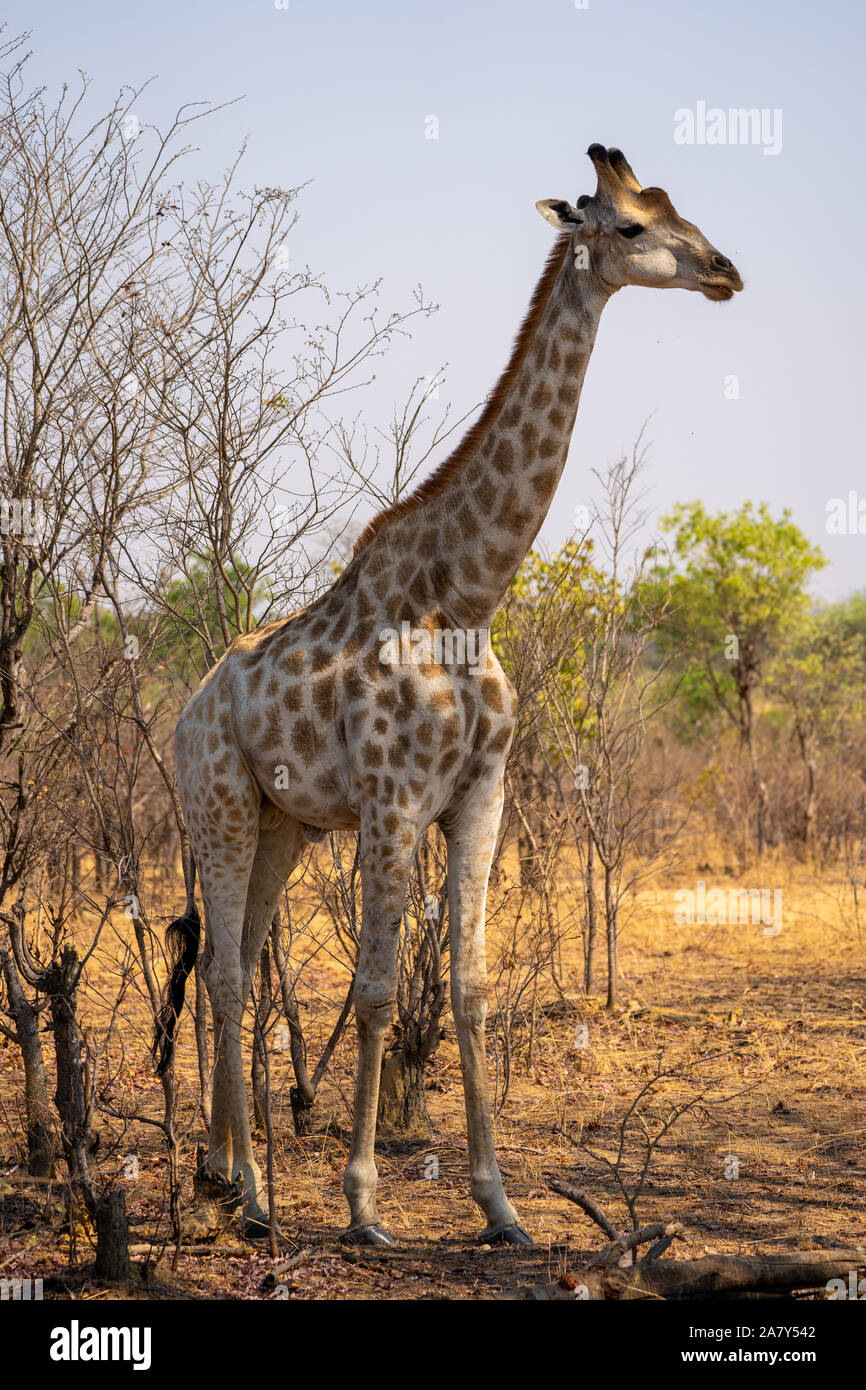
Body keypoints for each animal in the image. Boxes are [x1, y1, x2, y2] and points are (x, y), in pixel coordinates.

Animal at [154, 145, 742, 1245]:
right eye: (631, 226)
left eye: (674, 205)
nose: (724, 271)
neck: (466, 592)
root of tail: (189, 705)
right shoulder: (392, 800)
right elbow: (380, 990)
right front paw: (363, 1204)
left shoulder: (480, 794)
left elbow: (467, 988)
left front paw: (500, 1205)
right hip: (214, 802)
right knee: (223, 968)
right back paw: (244, 1193)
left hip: (284, 824)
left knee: (239, 958)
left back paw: (230, 1175)